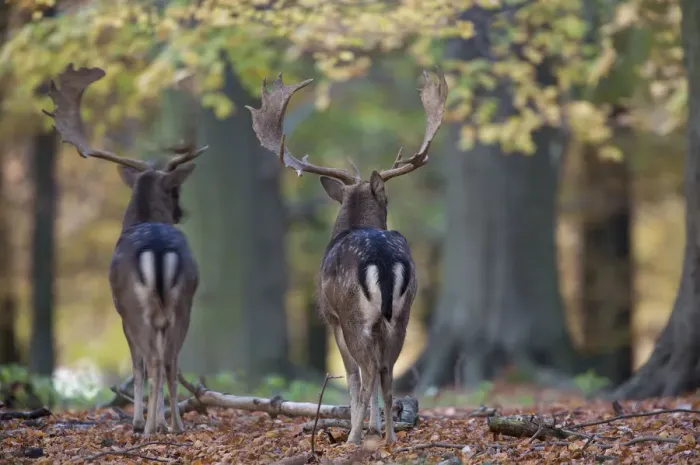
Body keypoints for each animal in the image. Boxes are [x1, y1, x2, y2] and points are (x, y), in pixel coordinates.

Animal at [43, 64, 208, 435]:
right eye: (174, 192)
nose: (181, 212)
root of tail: (158, 250)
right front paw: (161, 420)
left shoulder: (121, 313)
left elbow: (138, 365)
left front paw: (141, 421)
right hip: (183, 304)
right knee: (171, 360)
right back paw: (175, 426)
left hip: (134, 307)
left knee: (153, 360)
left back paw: (147, 428)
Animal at [247, 69, 448, 444]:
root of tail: (382, 259)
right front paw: (374, 427)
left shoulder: (331, 317)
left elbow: (352, 378)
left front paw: (360, 428)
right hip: (401, 315)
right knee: (387, 370)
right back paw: (389, 437)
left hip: (356, 315)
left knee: (367, 371)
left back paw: (354, 437)